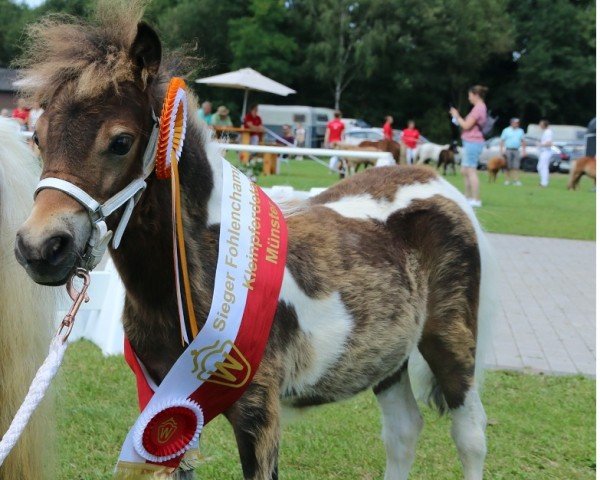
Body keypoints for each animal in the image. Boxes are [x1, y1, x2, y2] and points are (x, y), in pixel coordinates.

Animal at [14, 1, 494, 478]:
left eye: (120, 142)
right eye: (38, 137)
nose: (41, 248)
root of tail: (434, 181)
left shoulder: (258, 411)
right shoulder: (163, 404)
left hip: (451, 344)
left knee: (469, 436)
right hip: (387, 358)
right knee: (403, 431)